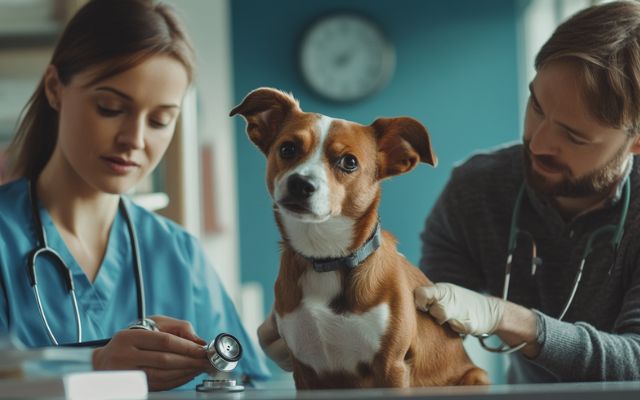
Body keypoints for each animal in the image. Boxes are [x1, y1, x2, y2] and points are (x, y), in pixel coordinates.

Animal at [232, 88, 488, 390]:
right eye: (287, 148)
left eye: (349, 162)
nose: (300, 184)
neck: (327, 258)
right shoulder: (304, 370)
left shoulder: (392, 366)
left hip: (475, 376)